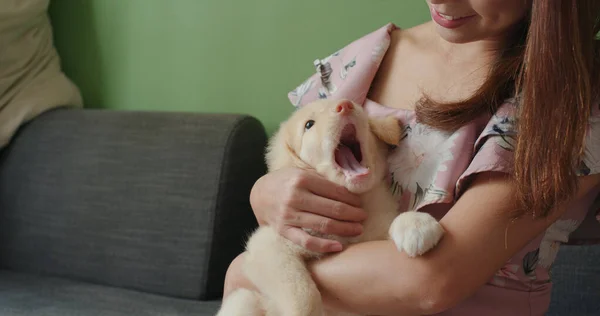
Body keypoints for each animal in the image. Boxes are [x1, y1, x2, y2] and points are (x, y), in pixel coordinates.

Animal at [218, 99, 442, 316]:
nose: (345, 105)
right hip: (243, 300)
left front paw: (417, 224)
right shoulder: (269, 245)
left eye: (356, 106)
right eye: (309, 125)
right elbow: (302, 294)